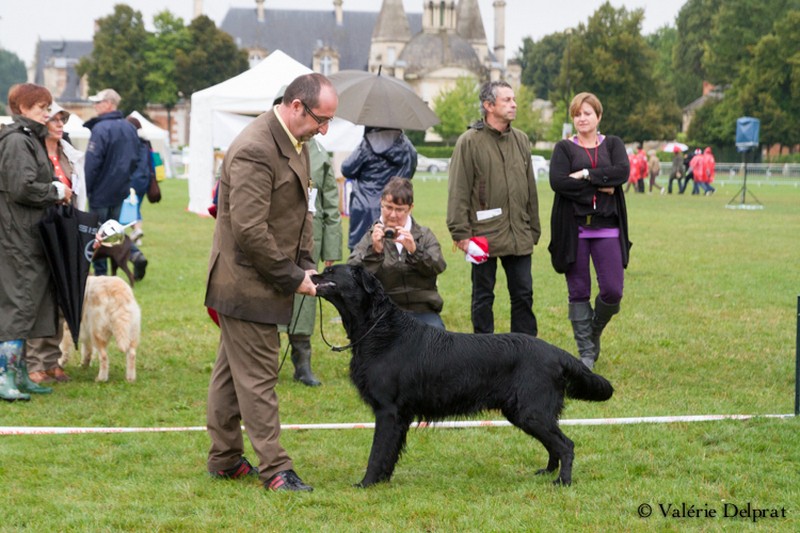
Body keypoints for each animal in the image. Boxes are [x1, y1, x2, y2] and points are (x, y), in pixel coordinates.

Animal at [310, 264, 612, 484]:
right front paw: (382, 480)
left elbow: (378, 452)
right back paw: (547, 472)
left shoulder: (388, 410)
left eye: (331, 271)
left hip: (531, 412)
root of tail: (555, 351)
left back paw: (562, 481)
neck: (379, 330)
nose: (311, 274)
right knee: (555, 445)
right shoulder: (399, 415)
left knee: (566, 445)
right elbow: (390, 453)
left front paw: (366, 483)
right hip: (525, 413)